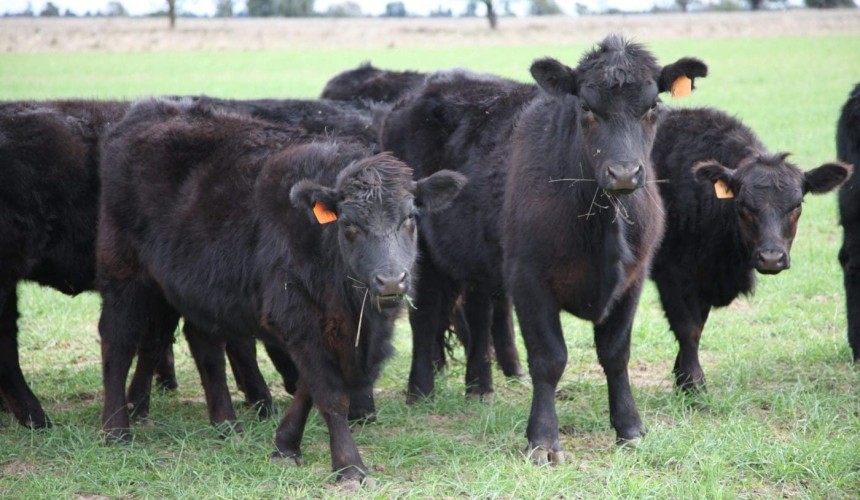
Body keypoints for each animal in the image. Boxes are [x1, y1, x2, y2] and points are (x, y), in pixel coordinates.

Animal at [96, 97, 465, 482]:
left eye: (410, 218)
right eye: (348, 224)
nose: (391, 280)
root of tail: (146, 110)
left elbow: (307, 387)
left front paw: (285, 445)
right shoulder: (298, 318)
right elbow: (329, 393)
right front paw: (349, 465)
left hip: (197, 289)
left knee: (203, 344)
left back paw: (226, 425)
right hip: (123, 274)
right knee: (117, 343)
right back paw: (116, 430)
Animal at [502, 35, 706, 463]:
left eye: (654, 106)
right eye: (585, 107)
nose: (624, 173)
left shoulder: (633, 281)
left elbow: (615, 354)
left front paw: (629, 427)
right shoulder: (526, 278)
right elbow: (549, 358)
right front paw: (542, 439)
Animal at [651, 106, 851, 389]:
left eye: (797, 205)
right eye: (743, 205)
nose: (771, 258)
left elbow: (699, 325)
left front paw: (682, 377)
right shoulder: (672, 273)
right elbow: (687, 328)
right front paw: (694, 384)